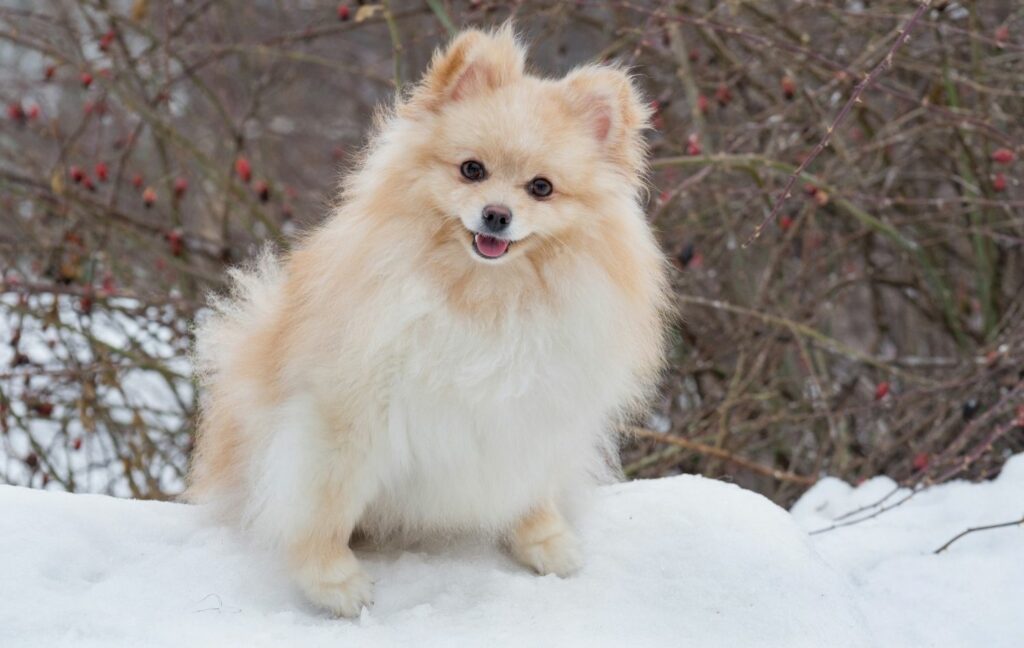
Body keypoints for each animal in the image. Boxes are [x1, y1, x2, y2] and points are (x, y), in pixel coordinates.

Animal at [190, 25, 671, 618]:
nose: (496, 214)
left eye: (541, 187)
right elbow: (325, 502)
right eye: (472, 170)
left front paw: (543, 539)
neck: (484, 296)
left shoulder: (533, 409)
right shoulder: (346, 414)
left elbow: (530, 483)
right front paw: (331, 582)